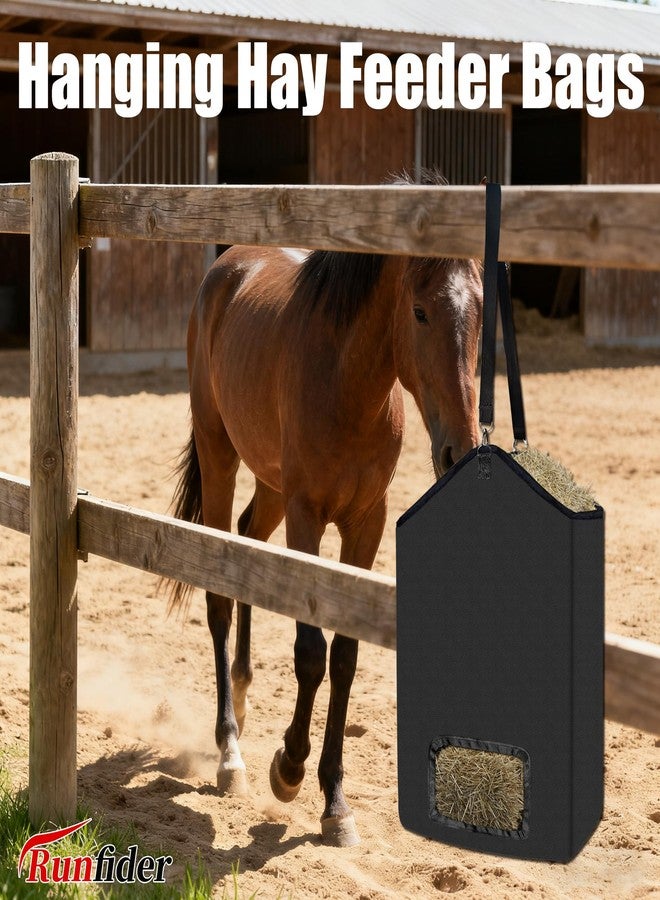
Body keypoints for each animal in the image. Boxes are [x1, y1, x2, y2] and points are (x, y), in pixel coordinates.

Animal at [167, 175, 483, 848]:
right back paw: (229, 750)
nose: (460, 450)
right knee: (219, 591)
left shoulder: (365, 524)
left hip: (272, 485)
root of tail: (228, 267)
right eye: (420, 311)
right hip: (221, 456)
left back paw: (242, 695)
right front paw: (288, 767)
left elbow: (346, 656)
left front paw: (335, 800)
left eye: (478, 315)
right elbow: (310, 652)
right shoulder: (309, 516)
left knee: (248, 542)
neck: (349, 384)